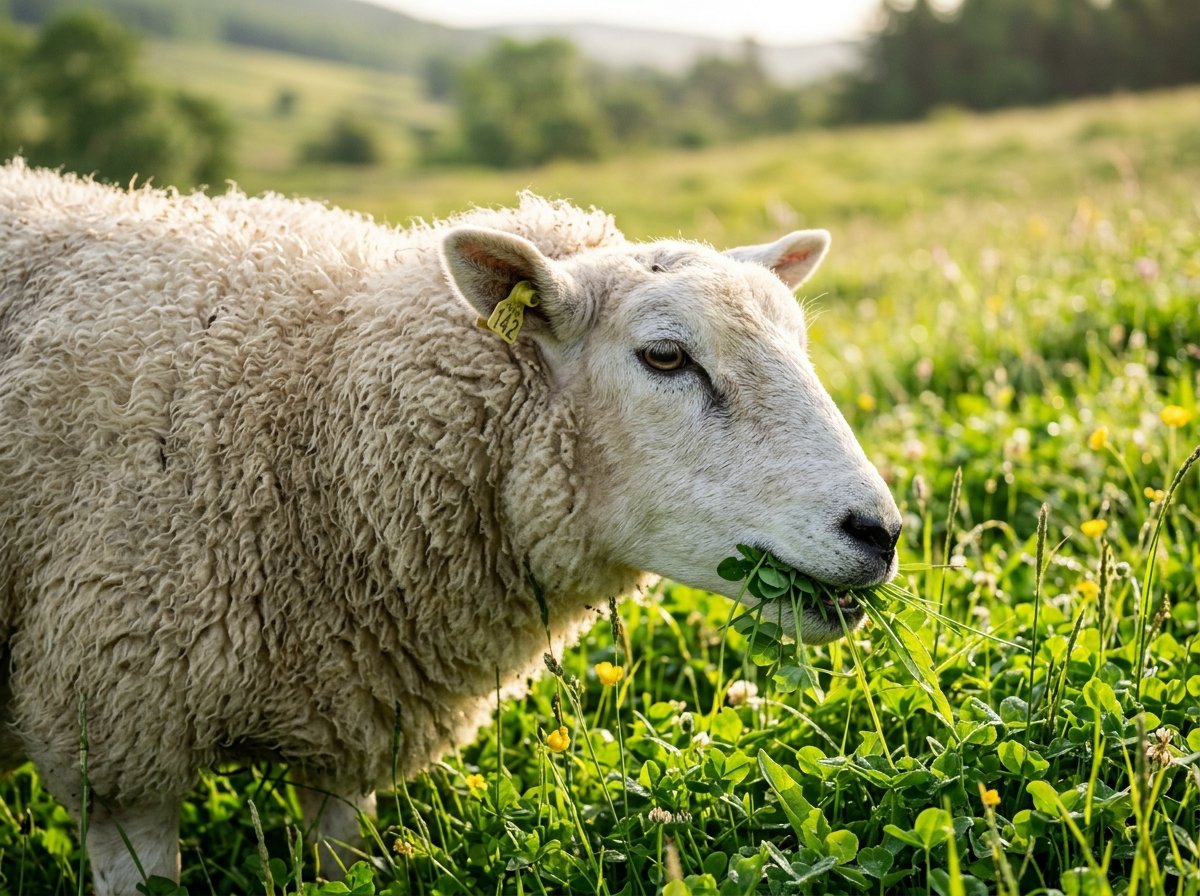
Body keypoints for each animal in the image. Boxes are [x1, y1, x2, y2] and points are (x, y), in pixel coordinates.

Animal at [0, 157, 901, 894]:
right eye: (665, 357)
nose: (882, 532)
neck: (313, 425)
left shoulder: (349, 729)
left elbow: (341, 866)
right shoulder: (119, 742)